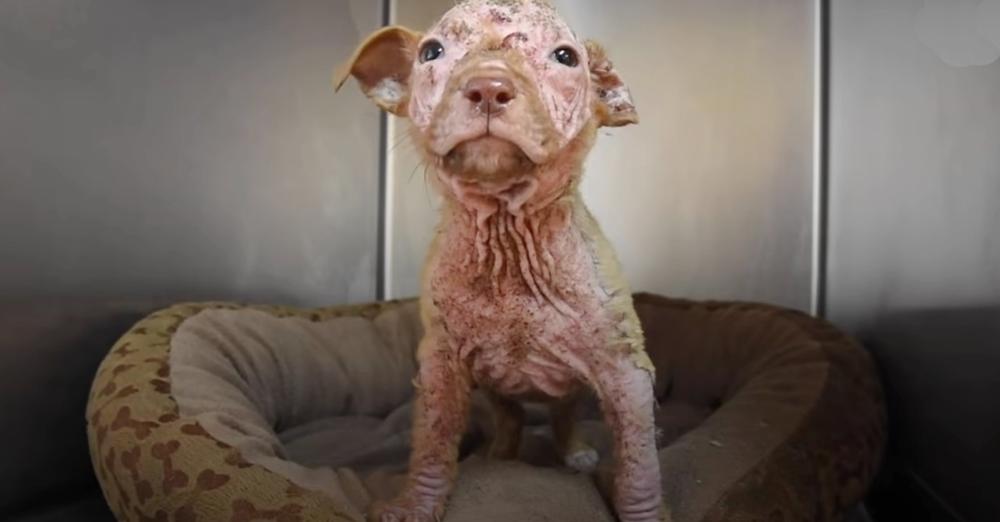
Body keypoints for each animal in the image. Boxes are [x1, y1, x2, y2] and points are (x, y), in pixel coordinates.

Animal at [340, 2, 668, 516]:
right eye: (432, 52)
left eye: (566, 56)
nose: (489, 86)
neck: (507, 239)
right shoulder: (440, 365)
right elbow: (432, 445)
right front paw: (415, 506)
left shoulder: (627, 369)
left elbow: (639, 468)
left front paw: (645, 512)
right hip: (497, 391)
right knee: (511, 417)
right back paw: (500, 454)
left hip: (571, 388)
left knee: (562, 414)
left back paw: (574, 451)